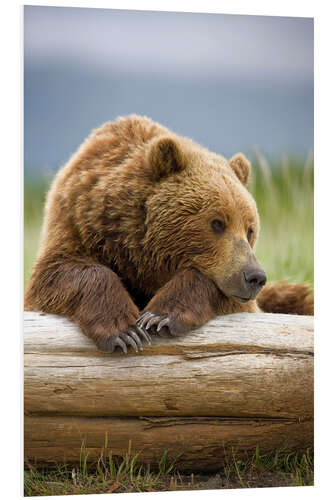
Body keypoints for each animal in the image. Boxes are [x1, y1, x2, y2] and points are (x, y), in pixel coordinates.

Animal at [24, 115, 312, 354]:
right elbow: (57, 275)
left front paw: (159, 316)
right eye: (217, 223)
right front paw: (124, 331)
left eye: (250, 229)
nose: (255, 277)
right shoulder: (77, 223)